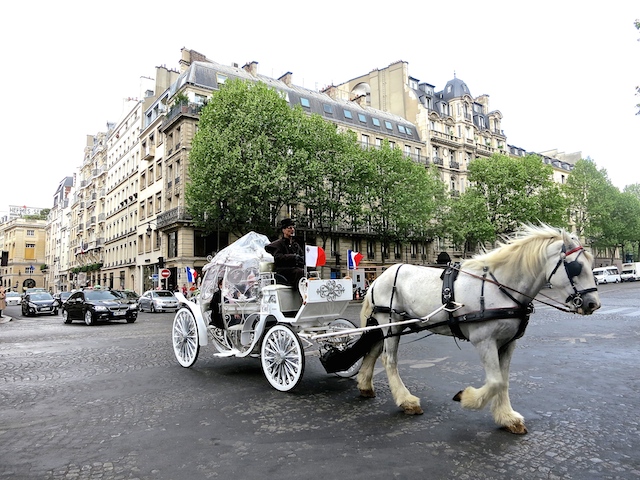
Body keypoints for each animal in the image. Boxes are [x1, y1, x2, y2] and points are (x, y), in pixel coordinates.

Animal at [358, 225, 604, 436]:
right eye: (576, 267)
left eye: (592, 264)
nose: (593, 304)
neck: (501, 288)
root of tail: (379, 277)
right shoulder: (484, 340)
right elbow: (495, 382)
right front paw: (467, 398)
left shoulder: (508, 343)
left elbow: (503, 380)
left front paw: (507, 418)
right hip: (392, 321)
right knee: (389, 359)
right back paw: (406, 400)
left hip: (388, 326)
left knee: (373, 351)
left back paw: (365, 385)